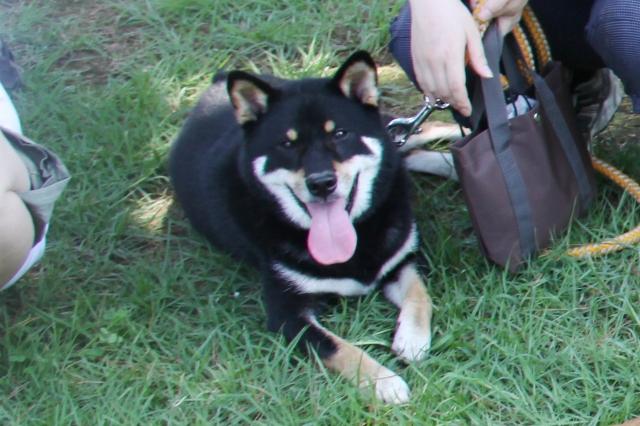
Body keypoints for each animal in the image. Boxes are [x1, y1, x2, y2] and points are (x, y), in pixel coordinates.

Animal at [169, 51, 433, 404]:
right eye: (287, 143)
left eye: (340, 134)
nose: (321, 183)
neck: (355, 244)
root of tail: (217, 81)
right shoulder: (287, 314)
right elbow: (341, 348)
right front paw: (384, 382)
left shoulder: (400, 263)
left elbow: (421, 296)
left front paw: (413, 339)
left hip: (399, 129)